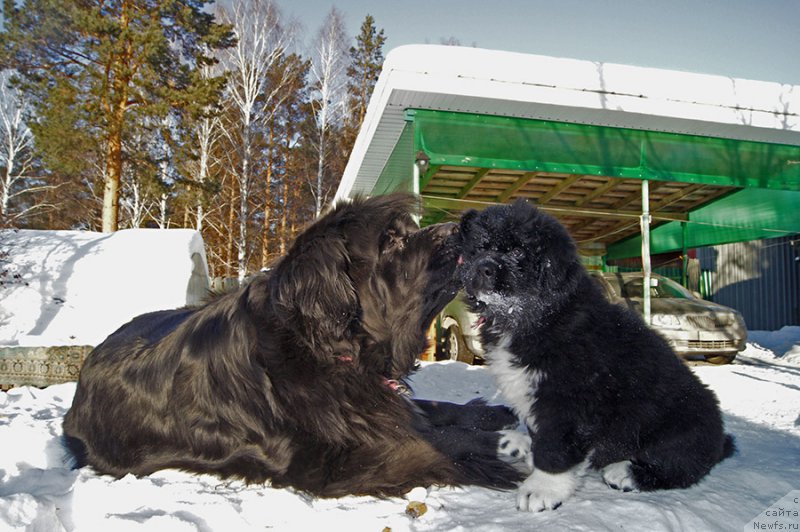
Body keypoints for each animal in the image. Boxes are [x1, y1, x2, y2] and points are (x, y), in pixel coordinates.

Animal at [460, 198, 736, 512]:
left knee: (680, 467)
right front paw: (531, 452)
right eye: (480, 248)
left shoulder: (569, 400)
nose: (482, 267)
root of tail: (720, 442)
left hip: (681, 429)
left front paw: (543, 488)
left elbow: (554, 446)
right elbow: (540, 433)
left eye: (518, 251)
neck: (532, 317)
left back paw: (624, 471)